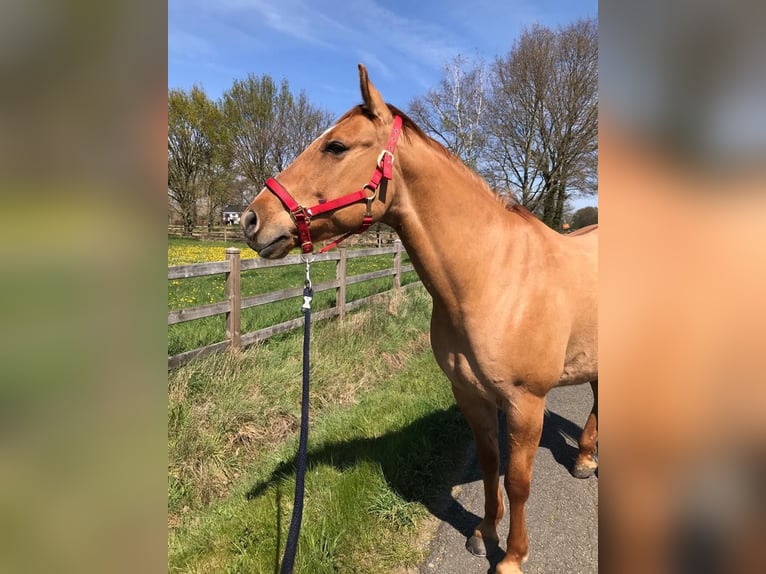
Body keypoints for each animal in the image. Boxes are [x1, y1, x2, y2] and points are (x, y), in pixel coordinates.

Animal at [242, 65, 600, 572]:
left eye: (336, 146)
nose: (252, 220)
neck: (495, 277)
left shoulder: (526, 403)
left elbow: (518, 481)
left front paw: (512, 556)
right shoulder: (470, 394)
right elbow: (490, 465)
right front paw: (484, 532)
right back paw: (585, 459)